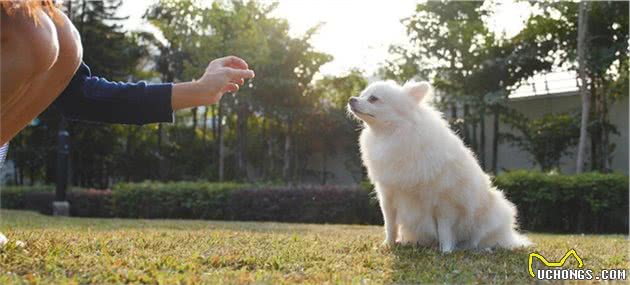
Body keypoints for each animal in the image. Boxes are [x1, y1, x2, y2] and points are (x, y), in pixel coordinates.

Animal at [350, 80, 532, 251]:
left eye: (373, 99)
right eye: (361, 94)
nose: (351, 99)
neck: (392, 134)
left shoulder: (445, 202)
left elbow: (445, 230)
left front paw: (446, 251)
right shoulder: (388, 196)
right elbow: (390, 225)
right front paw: (388, 245)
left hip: (491, 216)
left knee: (481, 240)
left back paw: (481, 249)